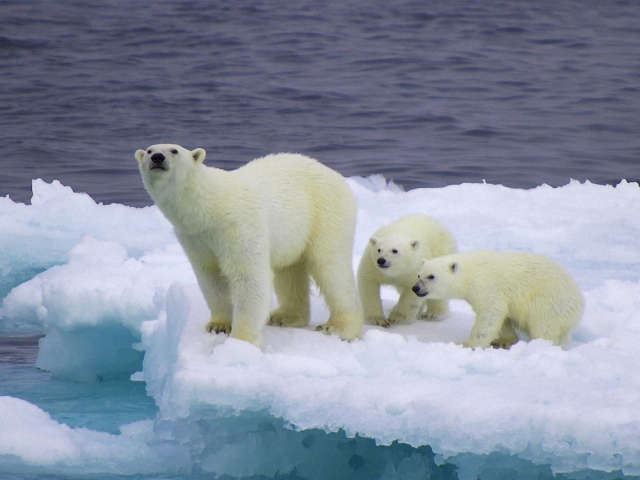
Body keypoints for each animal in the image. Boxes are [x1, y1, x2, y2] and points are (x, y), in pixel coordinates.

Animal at [136, 144, 362, 346]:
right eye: (149, 150)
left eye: (174, 150)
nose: (157, 157)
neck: (211, 206)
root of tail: (337, 176)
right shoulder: (194, 237)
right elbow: (210, 276)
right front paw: (218, 325)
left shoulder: (238, 226)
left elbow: (248, 276)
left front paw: (241, 340)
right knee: (288, 270)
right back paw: (284, 316)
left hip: (325, 212)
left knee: (330, 267)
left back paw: (338, 327)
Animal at [412, 251, 584, 348]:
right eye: (419, 275)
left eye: (431, 276)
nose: (415, 288)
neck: (470, 271)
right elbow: (502, 317)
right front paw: (502, 340)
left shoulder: (486, 286)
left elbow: (490, 314)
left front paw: (466, 344)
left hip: (549, 302)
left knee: (543, 326)